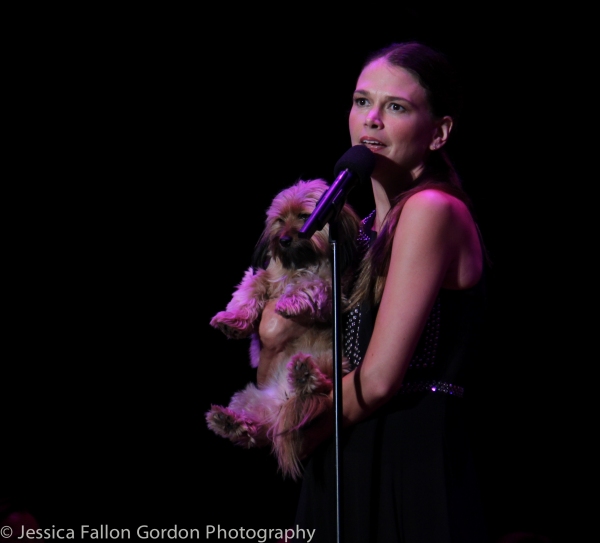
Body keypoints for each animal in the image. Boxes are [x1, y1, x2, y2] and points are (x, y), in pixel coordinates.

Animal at [207, 180, 360, 480]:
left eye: (303, 216)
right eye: (280, 220)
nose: (285, 239)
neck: (298, 264)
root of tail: (282, 400)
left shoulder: (332, 289)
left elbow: (313, 284)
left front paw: (291, 300)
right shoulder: (264, 276)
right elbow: (249, 288)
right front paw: (232, 319)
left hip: (331, 363)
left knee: (319, 386)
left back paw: (303, 376)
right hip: (249, 399)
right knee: (257, 429)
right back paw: (229, 422)